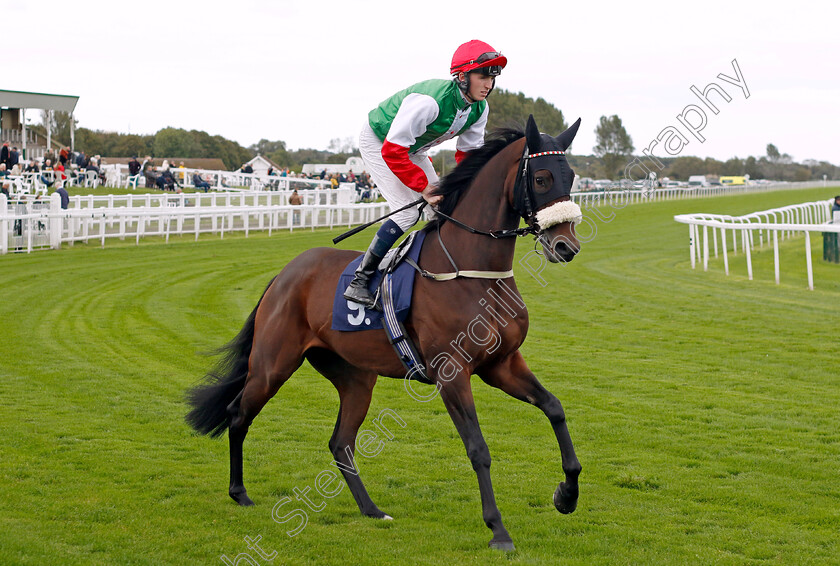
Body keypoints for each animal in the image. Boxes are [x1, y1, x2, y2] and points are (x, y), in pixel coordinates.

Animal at [189, 113, 584, 552]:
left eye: (572, 176)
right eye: (542, 179)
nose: (566, 246)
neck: (470, 270)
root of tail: (283, 274)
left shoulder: (502, 364)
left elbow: (554, 408)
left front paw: (566, 495)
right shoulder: (452, 372)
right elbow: (478, 447)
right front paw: (498, 529)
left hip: (355, 377)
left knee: (340, 442)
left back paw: (372, 509)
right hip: (273, 364)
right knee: (238, 415)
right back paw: (239, 492)